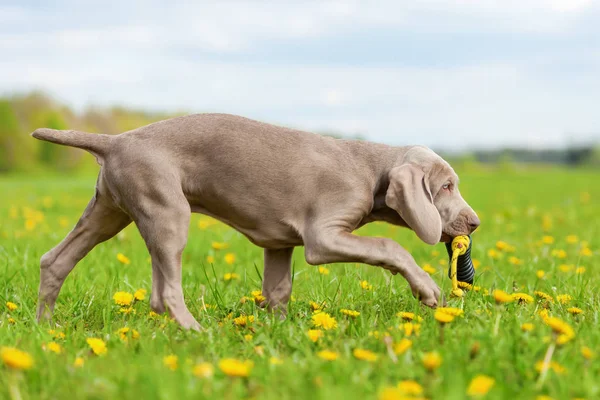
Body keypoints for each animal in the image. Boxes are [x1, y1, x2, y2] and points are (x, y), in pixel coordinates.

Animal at [34, 113, 478, 332]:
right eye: (446, 186)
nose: (473, 223)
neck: (371, 169)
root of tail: (115, 140)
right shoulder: (322, 238)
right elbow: (390, 245)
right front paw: (427, 289)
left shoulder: (279, 243)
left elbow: (278, 291)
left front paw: (278, 334)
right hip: (166, 211)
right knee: (164, 293)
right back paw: (197, 333)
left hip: (109, 210)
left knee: (54, 260)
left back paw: (45, 329)